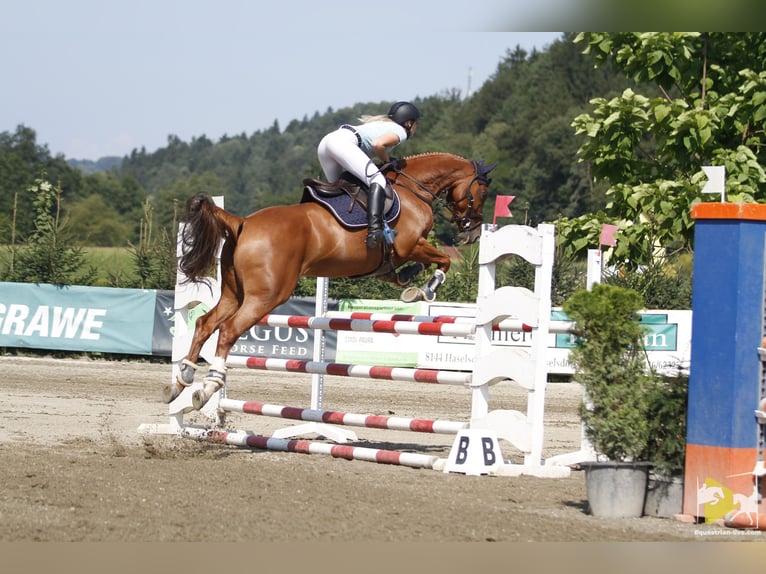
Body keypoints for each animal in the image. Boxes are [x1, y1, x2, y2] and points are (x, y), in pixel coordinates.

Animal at [164, 152, 496, 409]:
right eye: (482, 192)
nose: (472, 232)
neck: (413, 189)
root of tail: (242, 222)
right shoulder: (410, 245)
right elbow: (443, 261)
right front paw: (425, 289)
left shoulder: (401, 254)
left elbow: (405, 271)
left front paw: (409, 283)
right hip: (265, 297)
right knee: (229, 330)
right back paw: (208, 388)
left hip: (235, 293)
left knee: (205, 323)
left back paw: (181, 381)